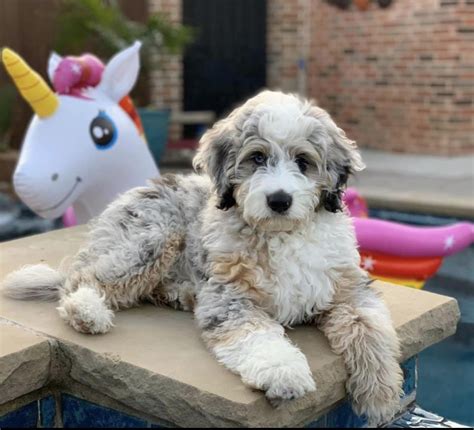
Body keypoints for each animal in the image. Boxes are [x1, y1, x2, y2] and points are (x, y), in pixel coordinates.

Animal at [3, 91, 404, 426]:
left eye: (303, 162)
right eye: (257, 158)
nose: (279, 200)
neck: (281, 233)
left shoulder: (350, 289)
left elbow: (371, 330)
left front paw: (381, 395)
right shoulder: (229, 296)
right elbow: (257, 335)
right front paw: (283, 371)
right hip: (152, 237)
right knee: (84, 278)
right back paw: (86, 311)